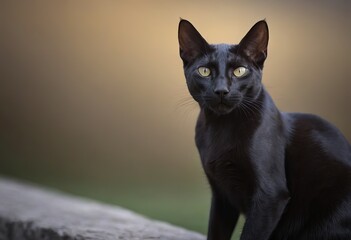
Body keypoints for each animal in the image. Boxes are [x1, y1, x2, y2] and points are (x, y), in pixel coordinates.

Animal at [179, 19, 351, 240]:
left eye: (240, 71)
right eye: (204, 71)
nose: (221, 90)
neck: (221, 127)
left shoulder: (270, 196)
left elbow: (251, 235)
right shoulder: (221, 195)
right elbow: (216, 233)